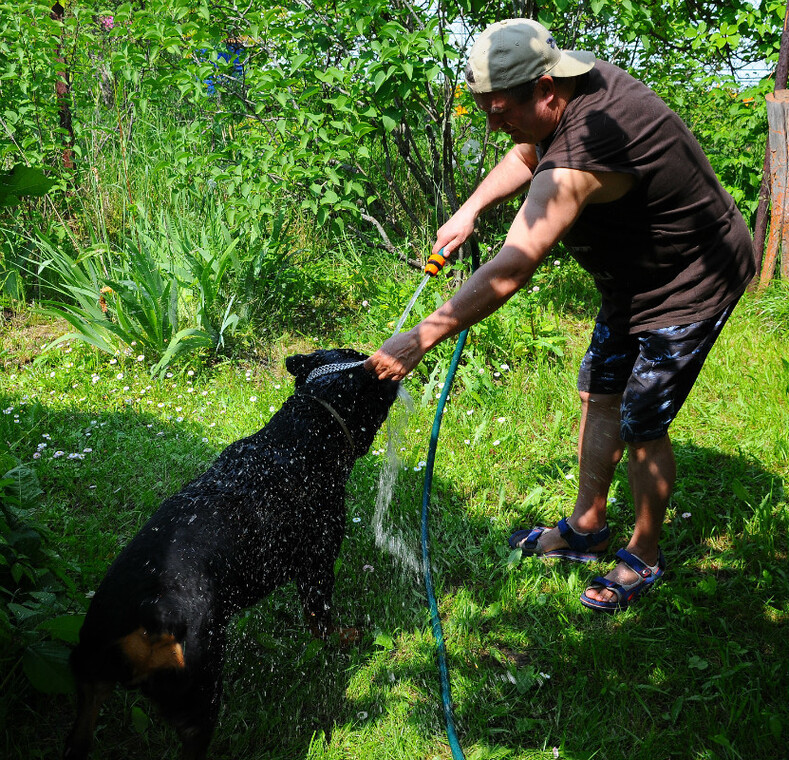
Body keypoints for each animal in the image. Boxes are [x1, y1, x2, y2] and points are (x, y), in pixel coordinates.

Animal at [65, 350, 400, 760]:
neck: (302, 433)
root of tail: (151, 613)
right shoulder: (317, 565)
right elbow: (320, 619)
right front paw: (341, 639)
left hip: (90, 669)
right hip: (199, 699)